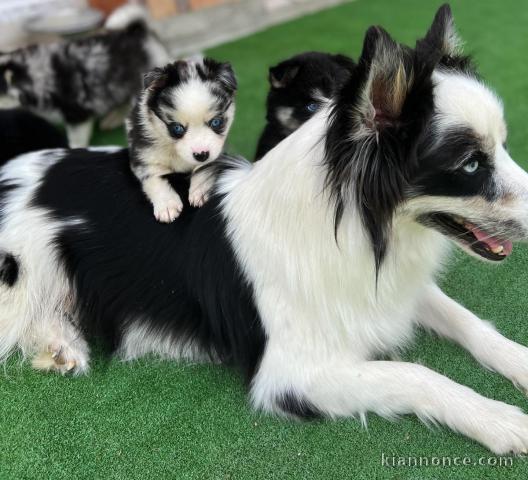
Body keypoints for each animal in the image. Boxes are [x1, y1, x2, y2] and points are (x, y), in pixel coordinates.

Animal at [0, 4, 528, 454]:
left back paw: (62, 348)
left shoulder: (391, 290)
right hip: (21, 271)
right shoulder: (290, 373)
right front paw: (503, 420)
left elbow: (469, 321)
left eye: (502, 147)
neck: (356, 229)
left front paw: (520, 362)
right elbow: (416, 375)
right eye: (471, 164)